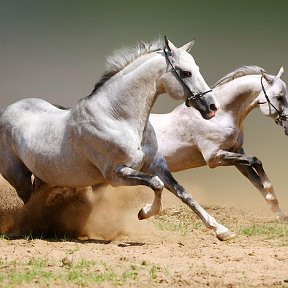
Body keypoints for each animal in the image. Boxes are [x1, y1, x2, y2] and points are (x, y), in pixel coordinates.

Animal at [0, 38, 236, 241]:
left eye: (197, 68)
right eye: (186, 73)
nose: (212, 107)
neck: (118, 117)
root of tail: (6, 110)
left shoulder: (156, 165)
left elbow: (183, 194)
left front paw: (222, 231)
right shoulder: (116, 175)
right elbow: (156, 184)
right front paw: (144, 212)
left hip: (45, 176)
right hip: (18, 176)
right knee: (28, 202)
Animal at [150, 66, 288, 220]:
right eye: (279, 97)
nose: (287, 125)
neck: (219, 116)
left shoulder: (236, 152)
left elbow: (256, 181)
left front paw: (278, 212)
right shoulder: (214, 157)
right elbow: (256, 161)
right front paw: (271, 195)